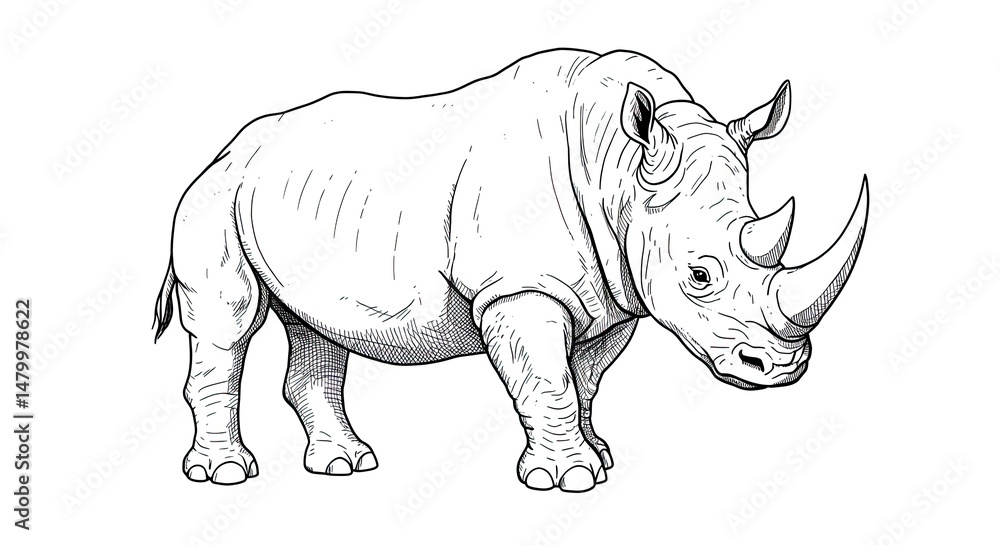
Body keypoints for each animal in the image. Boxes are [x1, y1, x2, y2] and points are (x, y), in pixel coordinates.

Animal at [153, 48, 867, 492]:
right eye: (700, 274)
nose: (782, 368)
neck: (619, 169)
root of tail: (230, 147)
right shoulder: (519, 289)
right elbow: (545, 378)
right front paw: (568, 480)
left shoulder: (611, 294)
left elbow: (583, 380)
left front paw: (597, 458)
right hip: (213, 197)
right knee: (228, 321)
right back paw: (226, 474)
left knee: (312, 329)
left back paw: (344, 466)